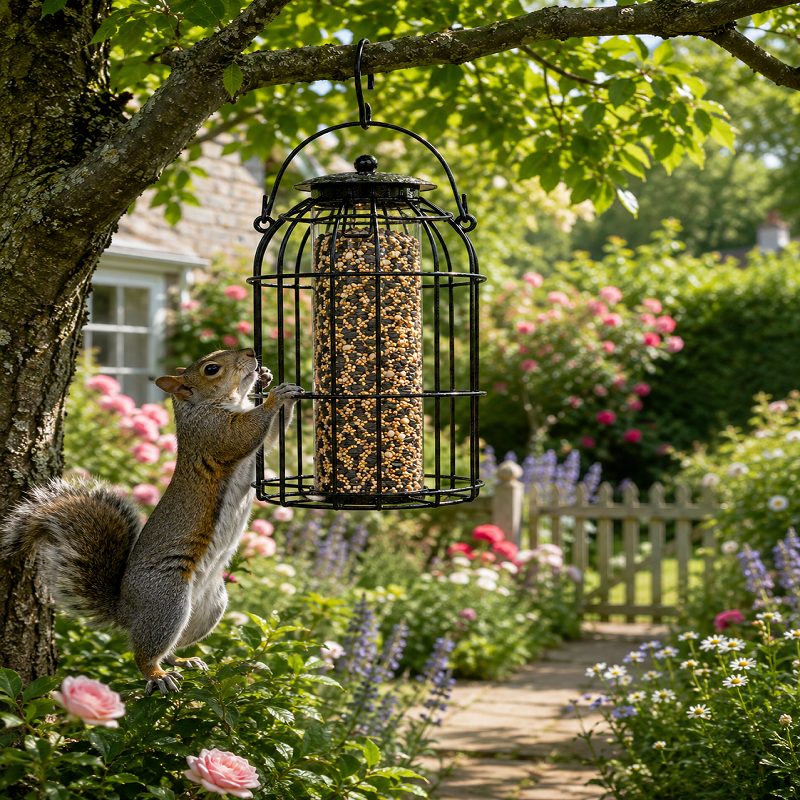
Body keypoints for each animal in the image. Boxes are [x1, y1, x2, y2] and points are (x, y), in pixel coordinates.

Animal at [0, 347, 303, 696]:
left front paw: (272, 381)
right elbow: (242, 435)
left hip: (211, 606)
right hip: (167, 601)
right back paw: (158, 676)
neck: (205, 405)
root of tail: (126, 611)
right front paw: (275, 396)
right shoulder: (210, 433)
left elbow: (271, 437)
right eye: (211, 369)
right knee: (145, 653)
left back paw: (182, 661)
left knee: (171, 647)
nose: (251, 353)